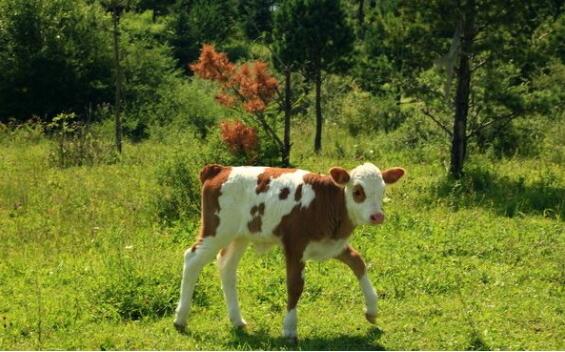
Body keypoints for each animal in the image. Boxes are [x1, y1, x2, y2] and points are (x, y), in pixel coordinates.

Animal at [174, 163, 404, 340]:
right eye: (357, 192)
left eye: (382, 191)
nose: (377, 216)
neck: (325, 201)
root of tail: (220, 169)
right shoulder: (295, 245)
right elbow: (295, 285)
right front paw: (290, 327)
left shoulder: (332, 243)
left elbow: (358, 262)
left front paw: (372, 309)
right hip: (217, 230)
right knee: (192, 259)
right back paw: (180, 319)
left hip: (240, 235)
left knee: (227, 267)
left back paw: (237, 320)